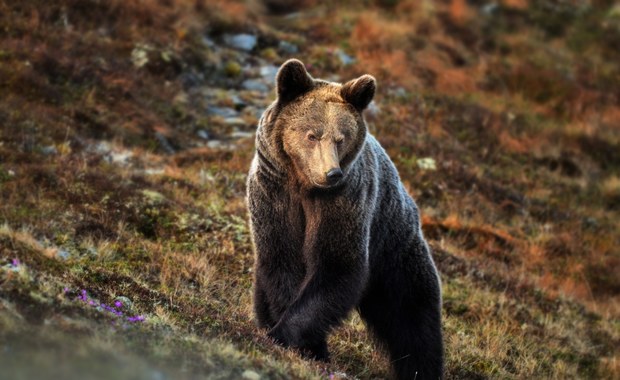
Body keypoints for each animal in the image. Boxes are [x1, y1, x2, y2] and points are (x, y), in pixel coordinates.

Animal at [245, 59, 444, 380]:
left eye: (341, 138)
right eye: (312, 135)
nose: (332, 173)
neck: (303, 186)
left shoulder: (343, 203)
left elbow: (336, 266)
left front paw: (290, 336)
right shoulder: (274, 195)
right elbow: (282, 262)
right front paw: (295, 340)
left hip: (392, 246)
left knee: (411, 313)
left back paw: (421, 369)